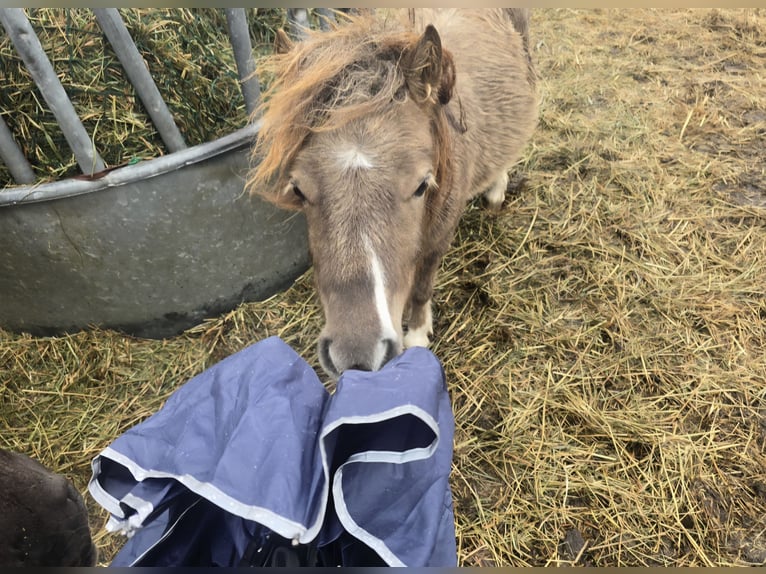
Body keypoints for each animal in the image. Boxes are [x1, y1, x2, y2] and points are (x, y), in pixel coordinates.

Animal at [248, 9, 538, 378]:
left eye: (421, 185)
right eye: (298, 189)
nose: (357, 353)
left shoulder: (439, 236)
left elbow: (422, 284)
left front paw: (417, 334)